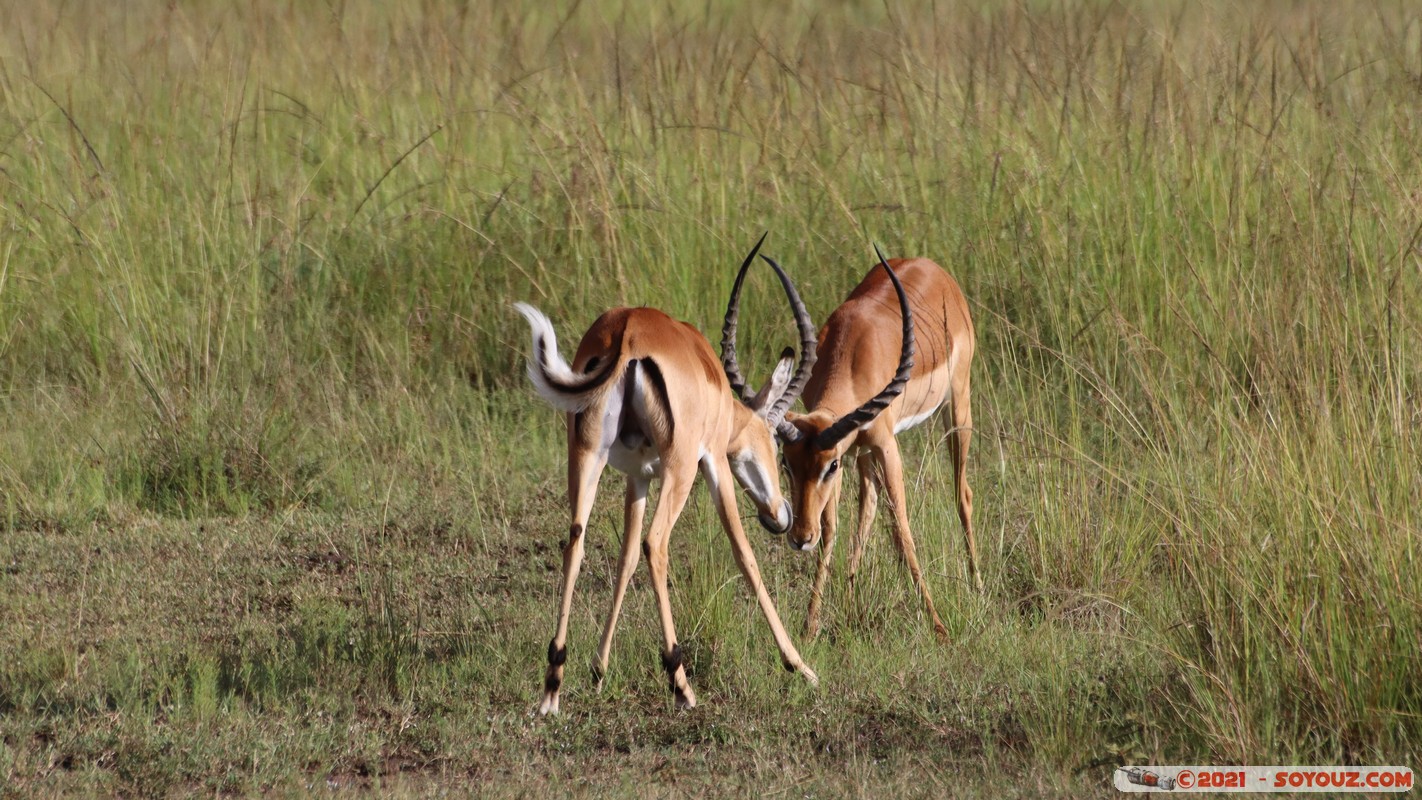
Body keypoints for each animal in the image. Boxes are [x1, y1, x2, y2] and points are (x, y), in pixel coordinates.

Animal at [514, 235, 820, 714]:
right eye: (778, 448)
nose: (782, 515)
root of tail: (628, 333)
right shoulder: (713, 465)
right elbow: (744, 553)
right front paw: (800, 667)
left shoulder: (637, 476)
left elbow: (624, 559)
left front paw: (598, 671)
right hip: (680, 468)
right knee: (656, 544)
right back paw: (682, 685)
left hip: (585, 457)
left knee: (575, 543)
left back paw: (552, 688)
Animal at [777, 247, 980, 640]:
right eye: (786, 464)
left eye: (828, 467)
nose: (799, 537)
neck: (853, 352)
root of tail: (933, 268)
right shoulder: (850, 448)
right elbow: (833, 528)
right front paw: (810, 626)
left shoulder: (882, 447)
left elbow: (902, 528)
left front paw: (938, 626)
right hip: (864, 451)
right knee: (868, 509)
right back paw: (850, 601)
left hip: (957, 406)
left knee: (962, 493)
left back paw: (978, 588)